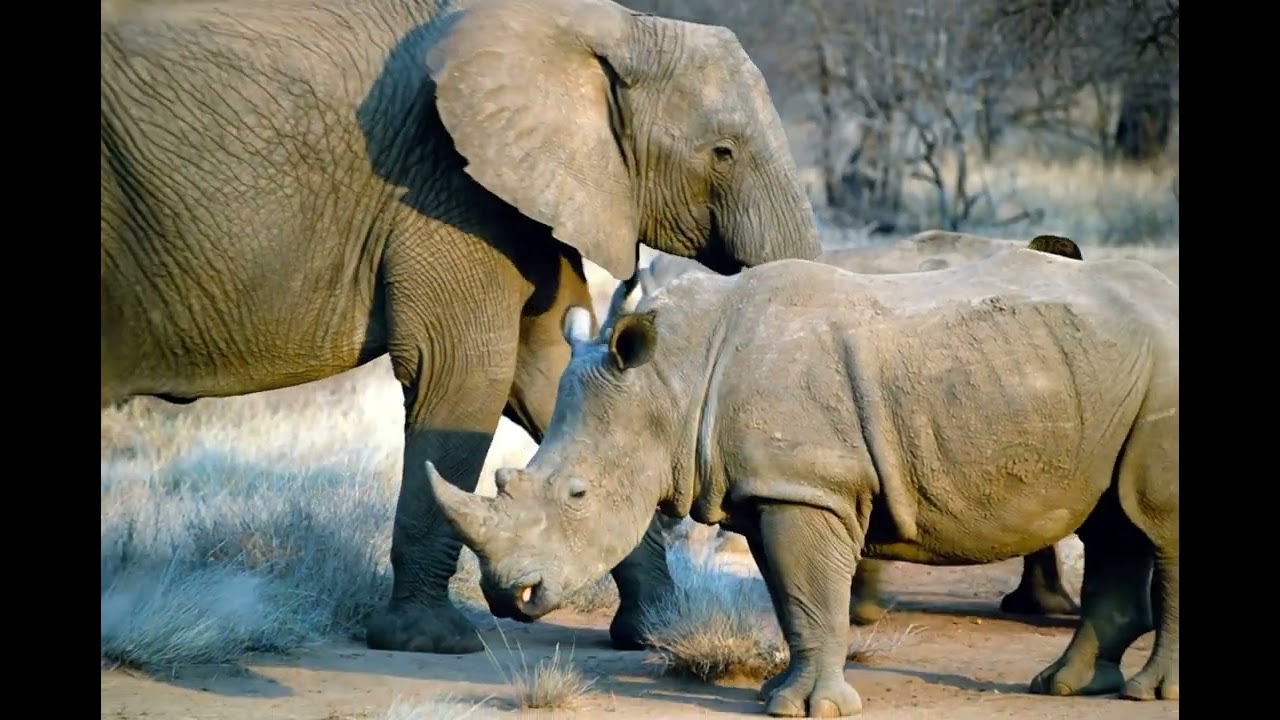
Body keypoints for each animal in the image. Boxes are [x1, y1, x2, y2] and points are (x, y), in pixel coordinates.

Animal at [101, 0, 821, 655]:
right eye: (722, 152)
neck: (591, 26)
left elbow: (548, 372)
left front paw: (657, 635)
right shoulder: (444, 186)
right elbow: (465, 373)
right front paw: (429, 641)